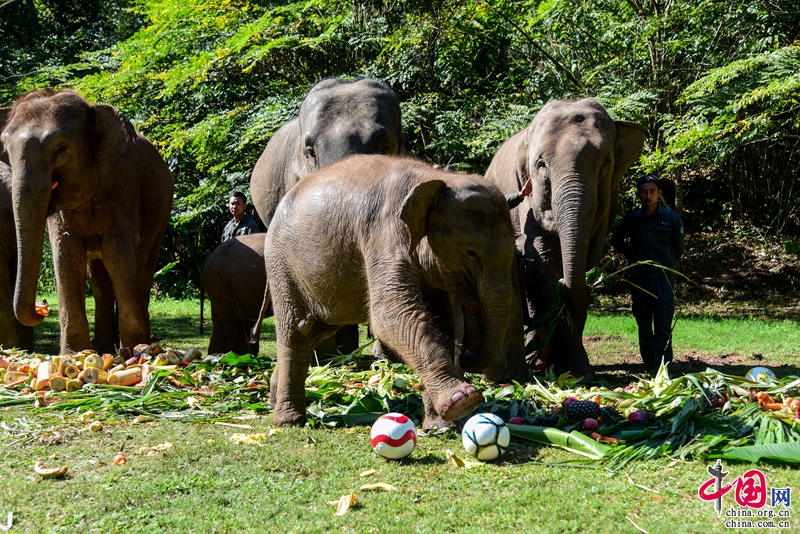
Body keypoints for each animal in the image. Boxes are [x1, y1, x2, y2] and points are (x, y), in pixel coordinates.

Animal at [0, 90, 173, 356]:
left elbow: (118, 255)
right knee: (100, 281)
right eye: (6, 150)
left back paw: (137, 346)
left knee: (143, 268)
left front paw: (137, 350)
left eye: (61, 148)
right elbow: (67, 255)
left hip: (162, 213)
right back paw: (104, 349)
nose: (43, 306)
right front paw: (74, 354)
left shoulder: (124, 186)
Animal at [260, 156, 516, 432]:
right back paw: (290, 420)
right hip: (280, 264)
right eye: (471, 253)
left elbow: (443, 324)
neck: (433, 179)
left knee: (312, 332)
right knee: (296, 330)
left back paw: (274, 401)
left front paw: (440, 426)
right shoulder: (384, 233)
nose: (466, 356)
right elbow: (390, 315)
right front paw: (462, 401)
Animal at [484, 99, 648, 376]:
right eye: (540, 164)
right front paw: (573, 367)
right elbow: (539, 265)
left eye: (606, 162)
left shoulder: (608, 205)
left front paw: (573, 368)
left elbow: (588, 262)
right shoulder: (525, 198)